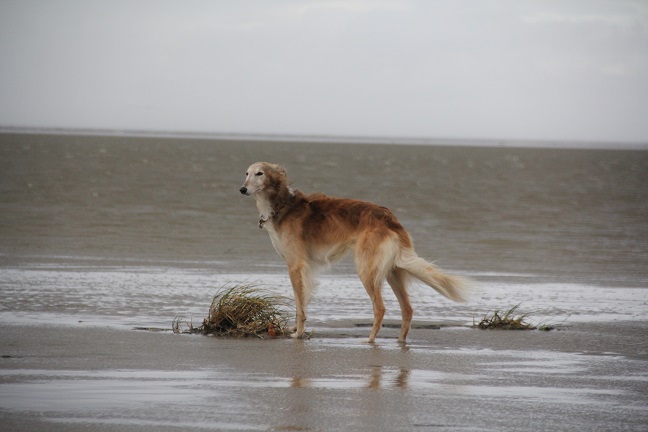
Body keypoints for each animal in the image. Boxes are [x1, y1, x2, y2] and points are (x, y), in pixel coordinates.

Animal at [240, 160, 468, 342]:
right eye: (247, 173)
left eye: (260, 173)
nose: (242, 189)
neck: (283, 205)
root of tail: (391, 219)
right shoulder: (299, 268)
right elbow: (300, 302)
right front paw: (295, 329)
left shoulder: (296, 265)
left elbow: (300, 305)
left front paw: (299, 333)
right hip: (392, 272)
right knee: (407, 309)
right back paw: (400, 341)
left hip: (367, 270)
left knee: (380, 308)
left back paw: (370, 340)